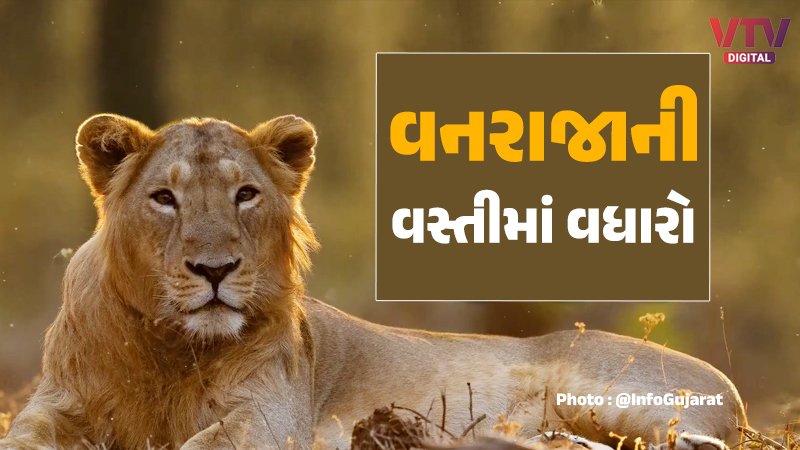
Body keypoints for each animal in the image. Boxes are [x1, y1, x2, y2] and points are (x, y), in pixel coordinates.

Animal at [0, 114, 745, 450]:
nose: (215, 270)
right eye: (164, 199)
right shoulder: (56, 402)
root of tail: (733, 391)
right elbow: (23, 436)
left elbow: (202, 443)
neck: (167, 349)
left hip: (606, 392)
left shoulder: (272, 414)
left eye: (245, 194)